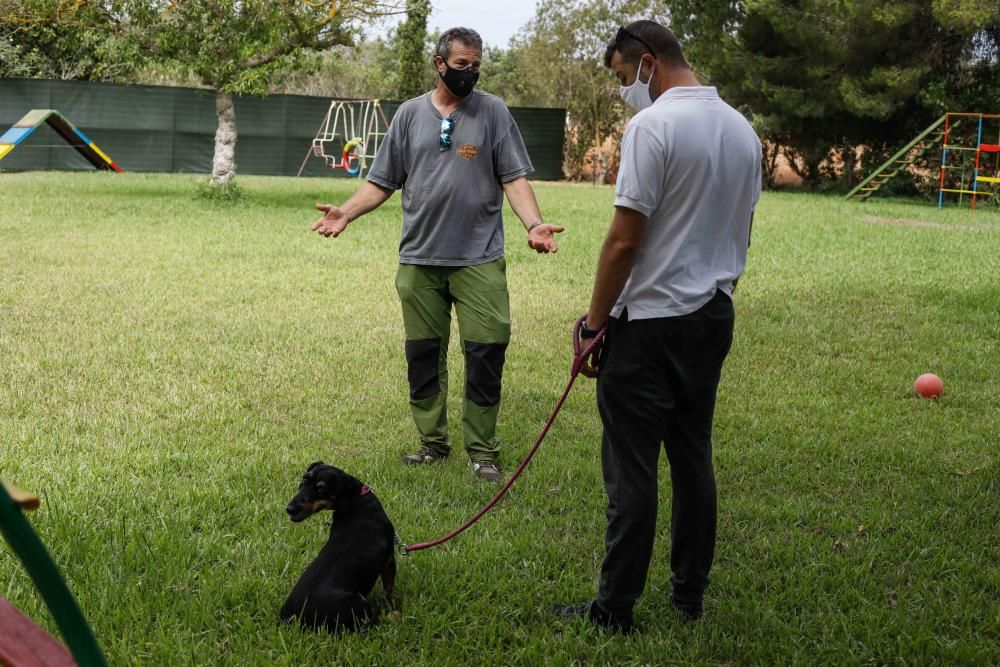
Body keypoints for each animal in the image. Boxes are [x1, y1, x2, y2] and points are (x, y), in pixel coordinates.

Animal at [280, 462, 396, 636]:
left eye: (321, 489)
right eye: (304, 480)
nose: (289, 509)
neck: (356, 501)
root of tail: (294, 621)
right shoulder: (389, 559)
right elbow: (388, 591)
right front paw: (391, 607)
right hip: (358, 603)